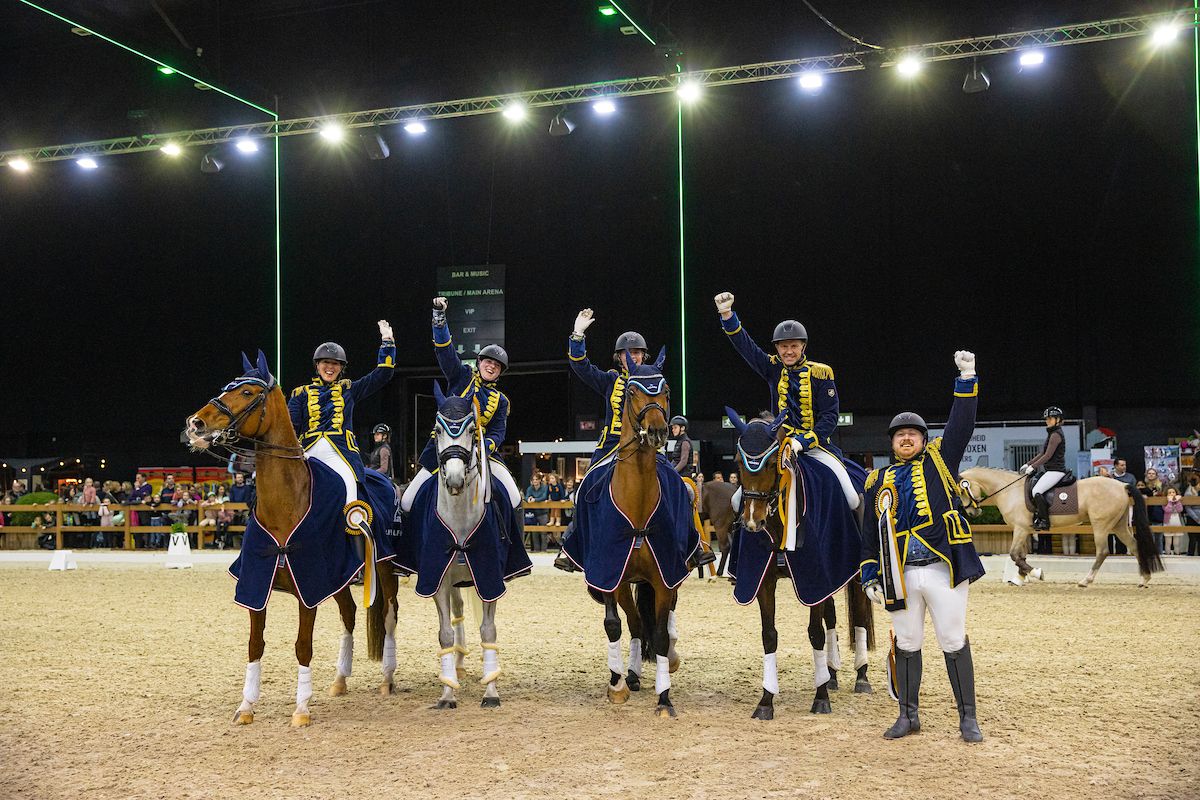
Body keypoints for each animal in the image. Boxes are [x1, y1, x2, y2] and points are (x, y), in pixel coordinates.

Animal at [185, 350, 400, 727]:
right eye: (226, 386)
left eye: (246, 392)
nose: (196, 424)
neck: (286, 503)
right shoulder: (259, 584)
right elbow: (255, 644)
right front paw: (246, 706)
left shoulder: (307, 588)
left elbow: (303, 646)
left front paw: (301, 709)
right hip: (340, 578)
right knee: (349, 615)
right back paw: (340, 679)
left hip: (383, 569)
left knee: (388, 615)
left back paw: (387, 678)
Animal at [396, 382, 531, 709]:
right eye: (436, 430)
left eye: (472, 430)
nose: (455, 478)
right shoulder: (437, 578)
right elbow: (445, 633)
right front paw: (447, 693)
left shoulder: (489, 578)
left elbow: (488, 631)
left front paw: (491, 691)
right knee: (456, 613)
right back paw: (456, 667)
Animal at [562, 349, 700, 718]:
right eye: (633, 391)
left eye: (666, 389)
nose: (657, 430)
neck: (636, 503)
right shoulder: (609, 573)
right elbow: (615, 625)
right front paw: (617, 685)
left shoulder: (665, 575)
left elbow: (661, 634)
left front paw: (664, 699)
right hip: (625, 584)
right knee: (636, 624)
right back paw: (633, 674)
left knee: (661, 622)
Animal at [726, 408, 874, 720]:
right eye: (738, 463)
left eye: (772, 463)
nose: (752, 522)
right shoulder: (765, 580)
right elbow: (769, 635)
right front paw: (766, 700)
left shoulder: (813, 575)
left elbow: (815, 633)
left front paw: (820, 698)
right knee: (832, 616)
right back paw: (831, 674)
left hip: (854, 572)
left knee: (859, 616)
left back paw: (860, 676)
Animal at [959, 467, 1163, 588]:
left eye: (961, 490)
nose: (972, 513)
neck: (1010, 490)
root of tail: (1122, 486)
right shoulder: (1024, 530)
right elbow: (1020, 556)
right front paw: (1020, 578)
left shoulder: (1020, 529)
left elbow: (1014, 555)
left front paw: (1036, 573)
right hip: (1118, 525)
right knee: (1134, 546)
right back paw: (1144, 579)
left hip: (1101, 525)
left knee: (1103, 551)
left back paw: (1085, 581)